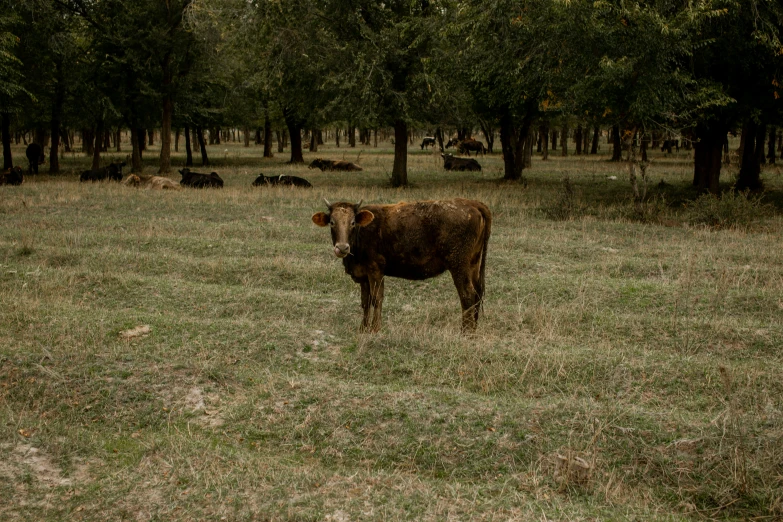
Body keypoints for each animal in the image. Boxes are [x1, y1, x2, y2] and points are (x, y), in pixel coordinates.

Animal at [310, 197, 490, 332]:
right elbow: (365, 301)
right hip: (473, 263)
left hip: (459, 264)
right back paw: (473, 330)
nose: (342, 248)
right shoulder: (363, 275)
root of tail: (471, 203)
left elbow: (377, 299)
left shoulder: (375, 270)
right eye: (332, 222)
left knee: (467, 294)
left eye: (353, 222)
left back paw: (465, 332)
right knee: (477, 293)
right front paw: (363, 329)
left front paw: (375, 329)